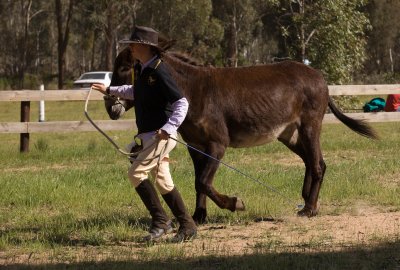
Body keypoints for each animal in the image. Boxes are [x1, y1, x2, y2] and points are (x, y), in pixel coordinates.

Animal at [108, 46, 376, 224]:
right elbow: (198, 182)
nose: (109, 106)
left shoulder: (217, 144)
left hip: (309, 126)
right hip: (288, 134)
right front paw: (199, 216)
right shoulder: (195, 146)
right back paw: (310, 202)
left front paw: (234, 204)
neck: (191, 90)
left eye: (123, 68)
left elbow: (203, 181)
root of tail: (319, 76)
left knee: (317, 164)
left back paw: (308, 209)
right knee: (314, 162)